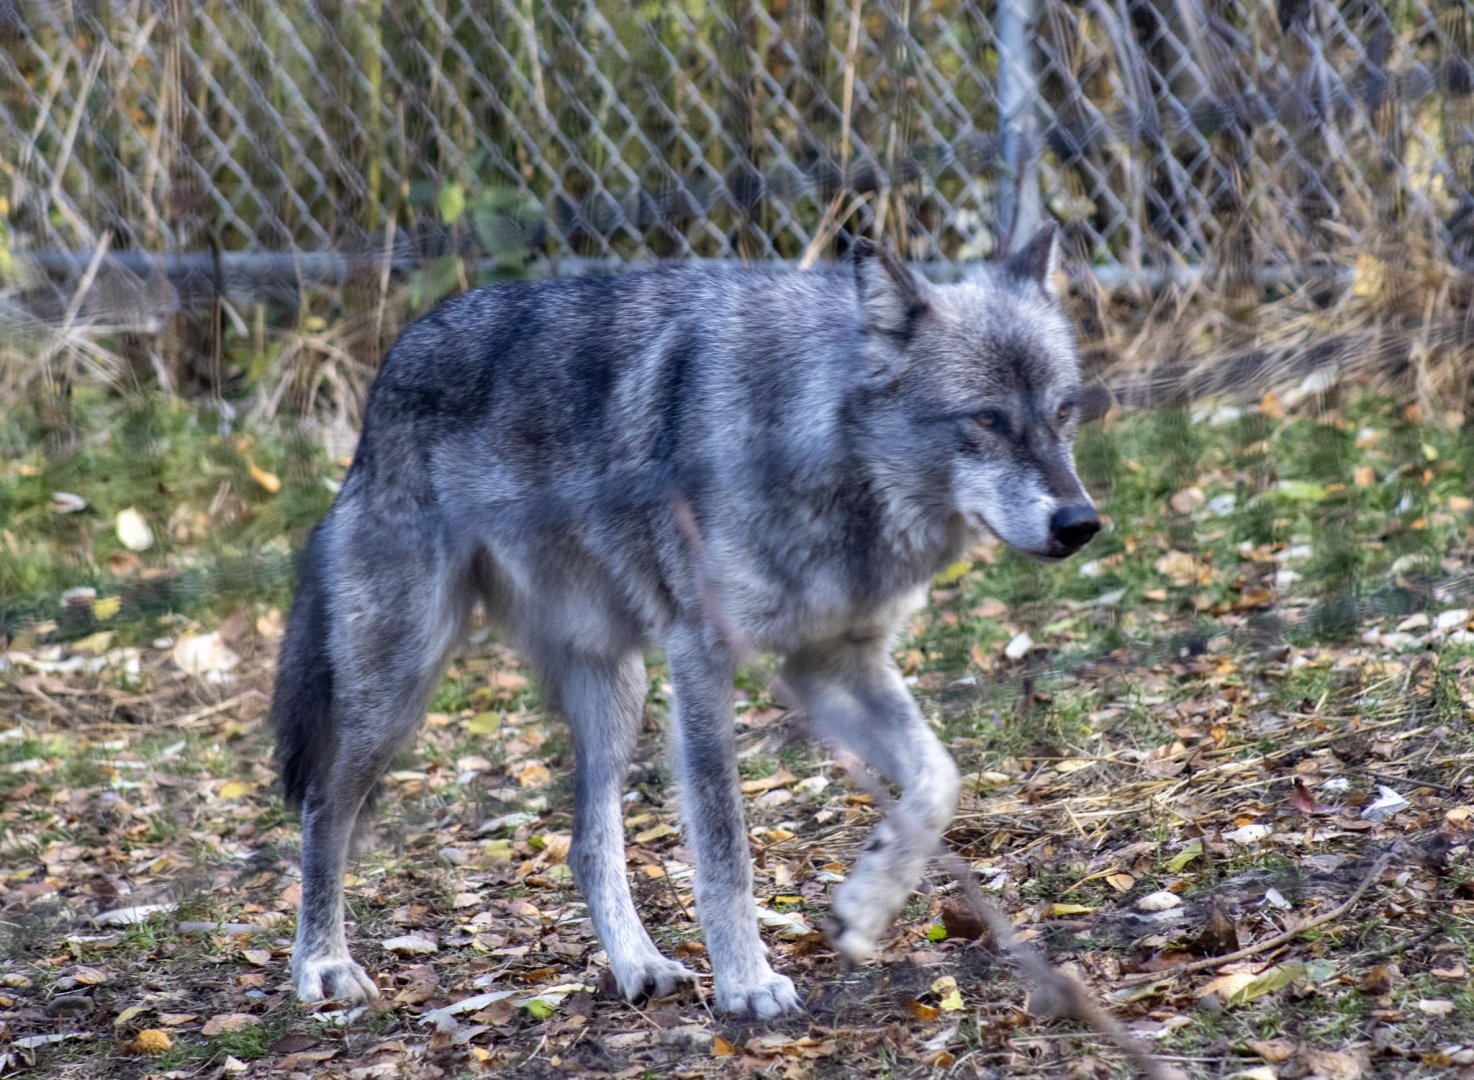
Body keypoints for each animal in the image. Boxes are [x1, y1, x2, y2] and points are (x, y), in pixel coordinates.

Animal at [273, 224, 1100, 1018]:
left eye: (1064, 412)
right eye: (987, 419)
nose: (1081, 522)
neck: (815, 444)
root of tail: (384, 381)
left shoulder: (833, 662)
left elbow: (939, 779)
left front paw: (865, 908)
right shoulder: (703, 657)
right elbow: (724, 844)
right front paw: (748, 984)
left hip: (617, 692)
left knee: (585, 844)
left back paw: (640, 966)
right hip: (401, 688)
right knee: (323, 811)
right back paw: (321, 966)